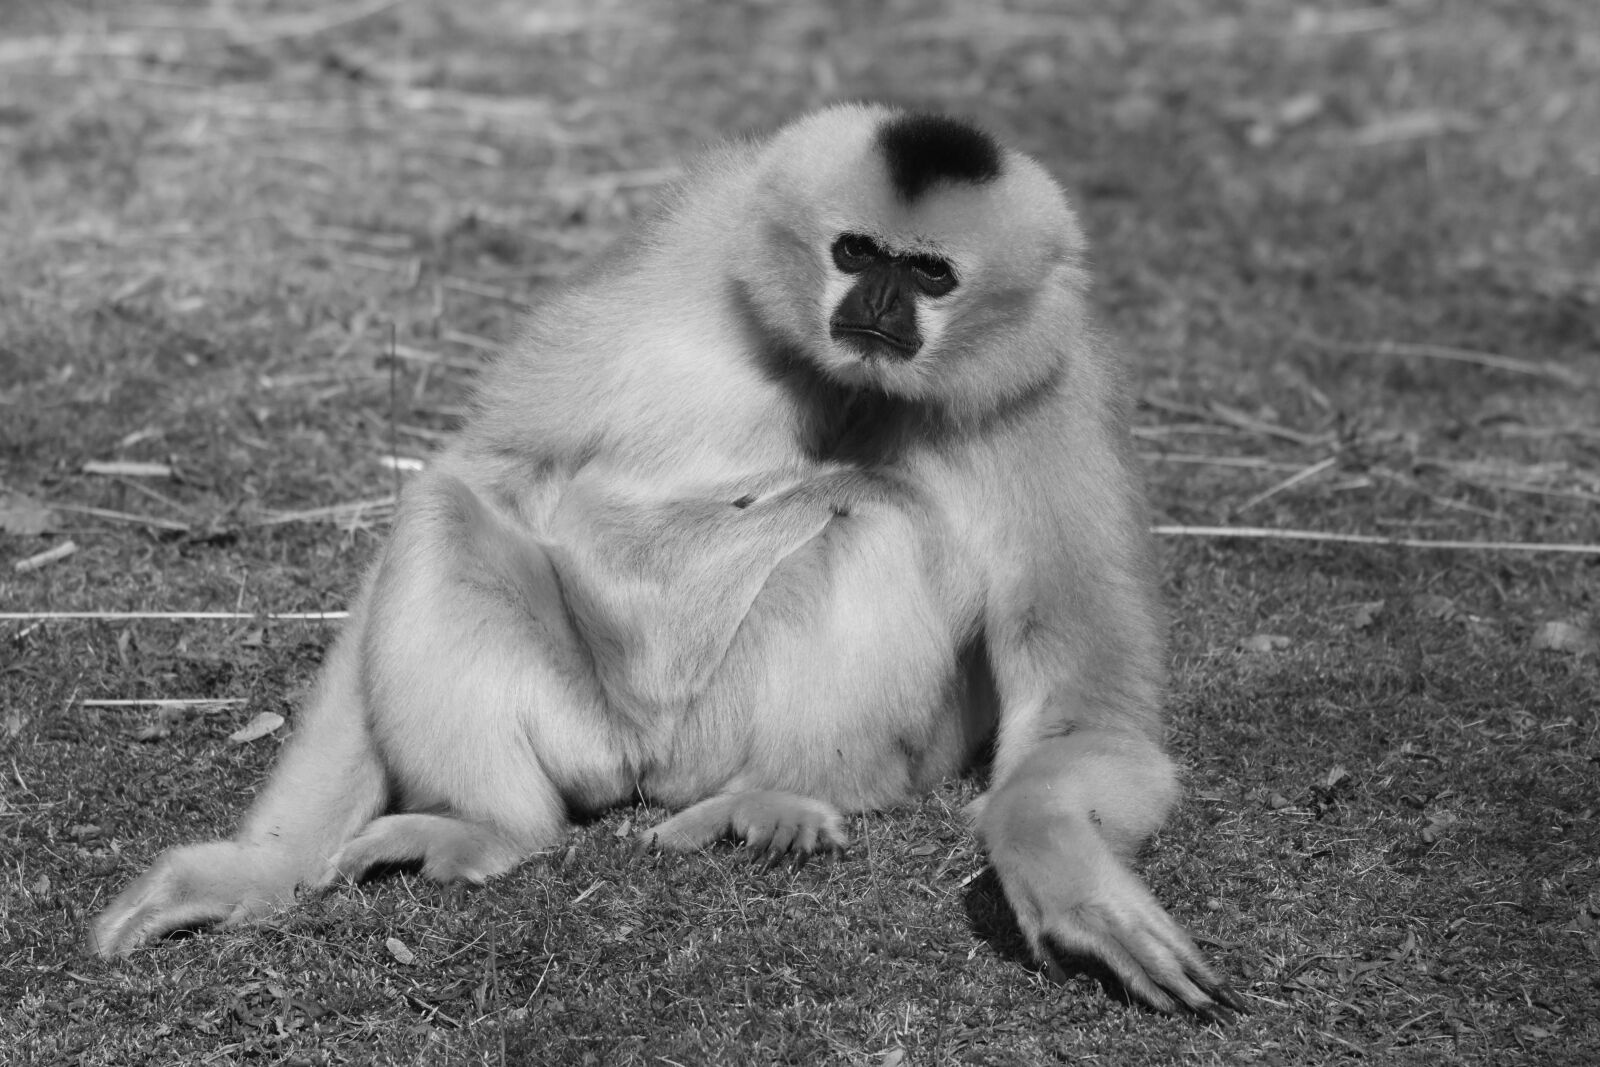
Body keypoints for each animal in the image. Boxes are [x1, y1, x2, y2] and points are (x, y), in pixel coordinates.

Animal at [88, 104, 1242, 1017]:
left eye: (929, 271)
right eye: (855, 252)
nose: (878, 304)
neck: (848, 388)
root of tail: (653, 765)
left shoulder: (1058, 392)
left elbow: (1090, 711)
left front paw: (1065, 871)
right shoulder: (684, 268)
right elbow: (487, 472)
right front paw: (257, 869)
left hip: (730, 739)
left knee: (876, 524)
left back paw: (772, 802)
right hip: (586, 730)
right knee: (446, 508)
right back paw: (493, 827)